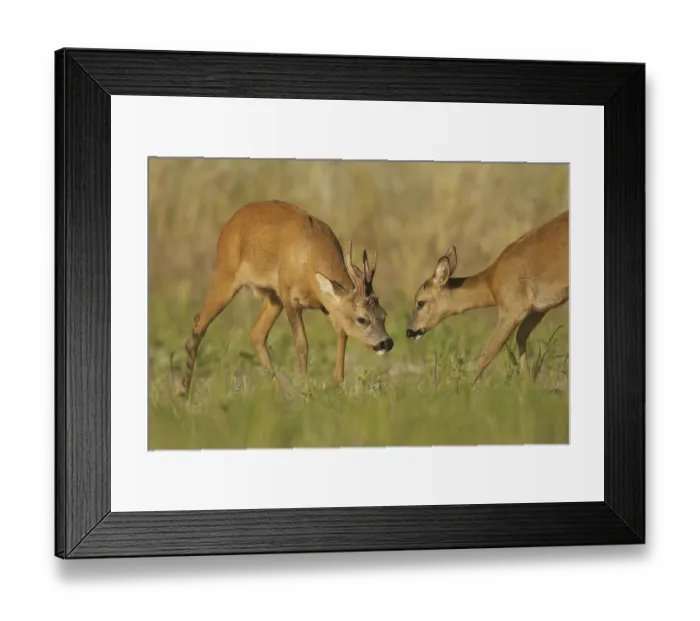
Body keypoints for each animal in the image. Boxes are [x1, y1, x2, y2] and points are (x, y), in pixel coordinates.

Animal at [179, 199, 394, 397]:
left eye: (384, 314)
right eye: (362, 318)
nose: (386, 343)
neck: (309, 256)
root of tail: (229, 224)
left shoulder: (325, 304)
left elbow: (342, 333)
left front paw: (335, 382)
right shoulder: (290, 296)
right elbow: (301, 343)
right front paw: (306, 389)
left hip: (273, 296)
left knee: (256, 332)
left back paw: (278, 393)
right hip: (227, 274)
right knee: (200, 322)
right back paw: (183, 393)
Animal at [406, 210, 569, 386]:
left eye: (420, 302)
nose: (410, 331)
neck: (491, 281)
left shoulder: (513, 311)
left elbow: (486, 354)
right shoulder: (538, 310)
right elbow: (521, 336)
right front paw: (527, 384)